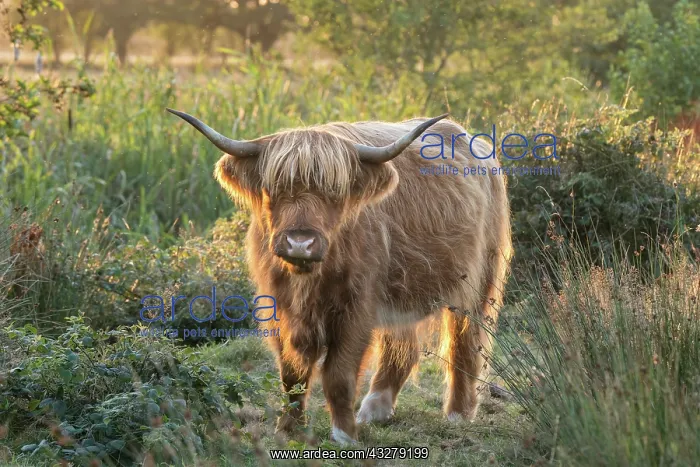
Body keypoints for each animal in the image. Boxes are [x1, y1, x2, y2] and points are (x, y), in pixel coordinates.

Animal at [167, 108, 513, 444]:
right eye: (273, 190)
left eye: (335, 193)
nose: (300, 243)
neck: (309, 278)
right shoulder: (280, 307)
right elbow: (292, 373)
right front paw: (288, 430)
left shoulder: (357, 307)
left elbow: (339, 374)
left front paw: (344, 435)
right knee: (404, 345)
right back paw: (375, 408)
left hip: (478, 279)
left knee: (465, 341)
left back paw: (457, 414)